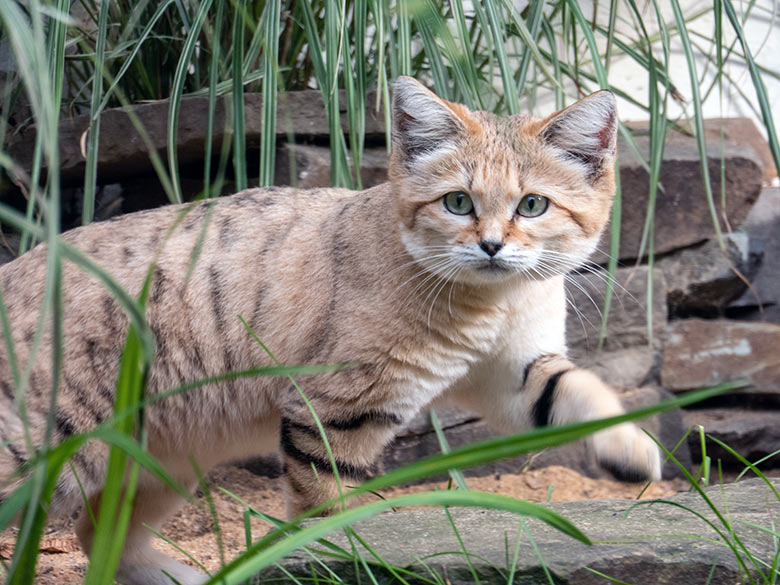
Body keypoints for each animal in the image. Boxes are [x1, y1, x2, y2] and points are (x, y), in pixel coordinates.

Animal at [0, 77, 660, 584]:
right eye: (457, 203)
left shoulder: (510, 373)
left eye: (532, 205)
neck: (495, 302)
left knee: (100, 532)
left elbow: (577, 390)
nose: (492, 245)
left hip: (168, 452)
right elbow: (326, 504)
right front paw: (335, 556)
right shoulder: (337, 405)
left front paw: (634, 451)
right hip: (42, 444)